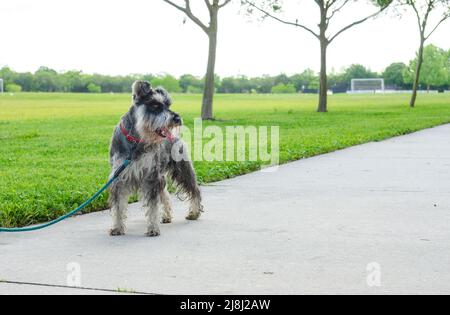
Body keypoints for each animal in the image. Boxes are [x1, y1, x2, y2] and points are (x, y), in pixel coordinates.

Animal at [107, 81, 202, 237]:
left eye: (168, 105)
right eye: (155, 105)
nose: (177, 118)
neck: (136, 141)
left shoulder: (151, 176)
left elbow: (153, 206)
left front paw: (152, 228)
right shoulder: (119, 177)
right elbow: (118, 206)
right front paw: (117, 227)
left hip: (182, 170)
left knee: (194, 189)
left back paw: (194, 213)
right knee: (165, 195)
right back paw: (167, 216)